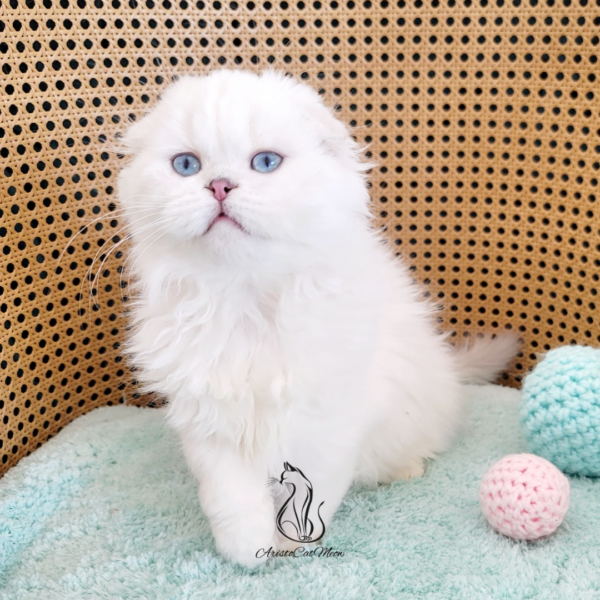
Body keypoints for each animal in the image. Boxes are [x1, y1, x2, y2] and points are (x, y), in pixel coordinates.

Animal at [118, 69, 520, 568]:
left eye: (265, 162)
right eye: (187, 166)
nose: (220, 185)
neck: (247, 299)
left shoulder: (329, 418)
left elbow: (316, 489)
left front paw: (293, 545)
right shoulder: (209, 422)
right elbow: (230, 497)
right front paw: (247, 552)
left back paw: (406, 469)